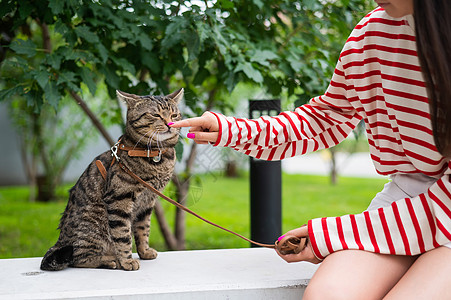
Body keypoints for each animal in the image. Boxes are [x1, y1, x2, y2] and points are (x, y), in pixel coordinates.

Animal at [40, 88, 184, 270]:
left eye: (174, 115)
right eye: (155, 115)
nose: (170, 124)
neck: (156, 155)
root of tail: (59, 242)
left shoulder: (147, 202)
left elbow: (143, 229)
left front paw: (144, 252)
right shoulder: (119, 199)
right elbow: (123, 235)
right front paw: (127, 260)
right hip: (93, 223)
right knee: (79, 258)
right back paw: (109, 260)